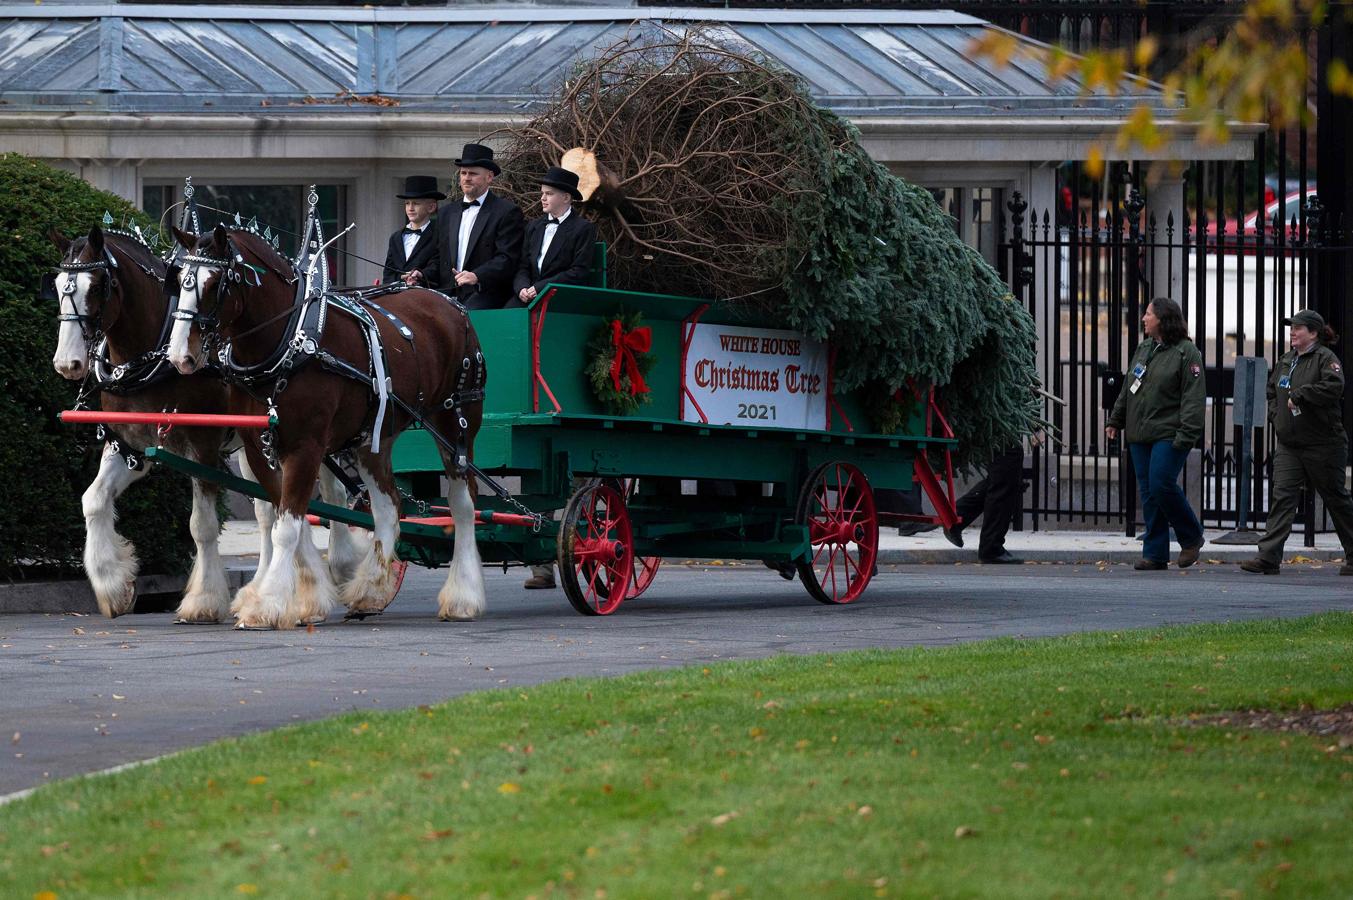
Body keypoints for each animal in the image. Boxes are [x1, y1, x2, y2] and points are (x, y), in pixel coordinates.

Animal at [166, 221, 487, 627]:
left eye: (214, 284)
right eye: (179, 281)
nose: (180, 356)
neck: (288, 341)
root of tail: (449, 303)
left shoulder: (306, 447)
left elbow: (287, 528)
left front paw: (268, 604)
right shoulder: (257, 447)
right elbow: (287, 519)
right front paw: (306, 596)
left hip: (455, 422)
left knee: (463, 505)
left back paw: (463, 596)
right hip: (372, 437)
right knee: (388, 506)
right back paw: (370, 590)